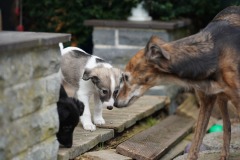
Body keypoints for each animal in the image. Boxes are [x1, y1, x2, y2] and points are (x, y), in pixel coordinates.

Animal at [114, 5, 240, 159]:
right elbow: (196, 143)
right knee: (227, 125)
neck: (214, 53)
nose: (115, 103)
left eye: (126, 77)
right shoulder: (206, 101)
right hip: (221, 99)